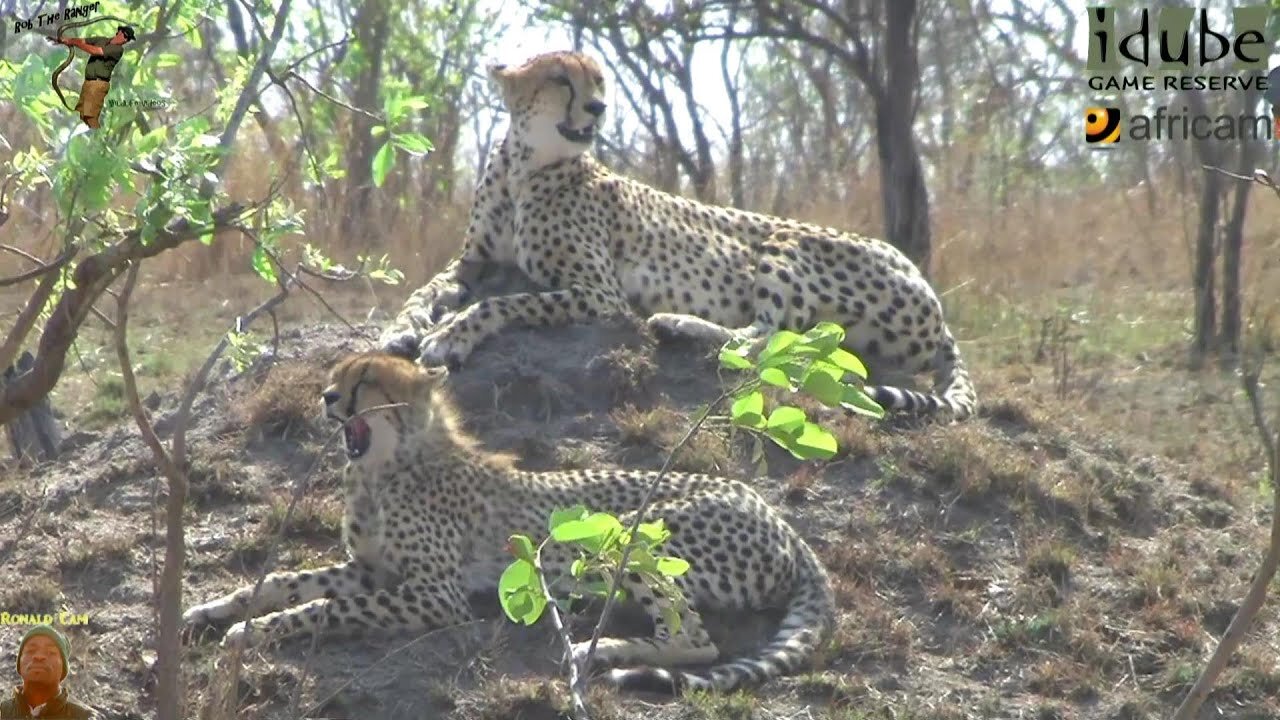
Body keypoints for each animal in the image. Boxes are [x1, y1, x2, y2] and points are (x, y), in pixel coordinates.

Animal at [183, 351, 839, 691]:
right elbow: (286, 581)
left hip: (635, 531)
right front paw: (212, 611)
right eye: (337, 376)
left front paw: (254, 632)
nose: (324, 397)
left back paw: (602, 648)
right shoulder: (369, 569)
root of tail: (783, 522)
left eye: (365, 381)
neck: (386, 468)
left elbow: (322, 608)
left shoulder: (435, 594)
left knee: (698, 641)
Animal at [381, 49, 977, 420]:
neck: (525, 166)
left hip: (786, 243)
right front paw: (401, 328)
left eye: (598, 81)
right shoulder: (472, 261)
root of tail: (935, 301)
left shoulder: (600, 294)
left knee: (768, 338)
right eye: (560, 79)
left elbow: (505, 303)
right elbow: (422, 290)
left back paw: (676, 322)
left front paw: (451, 335)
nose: (598, 107)